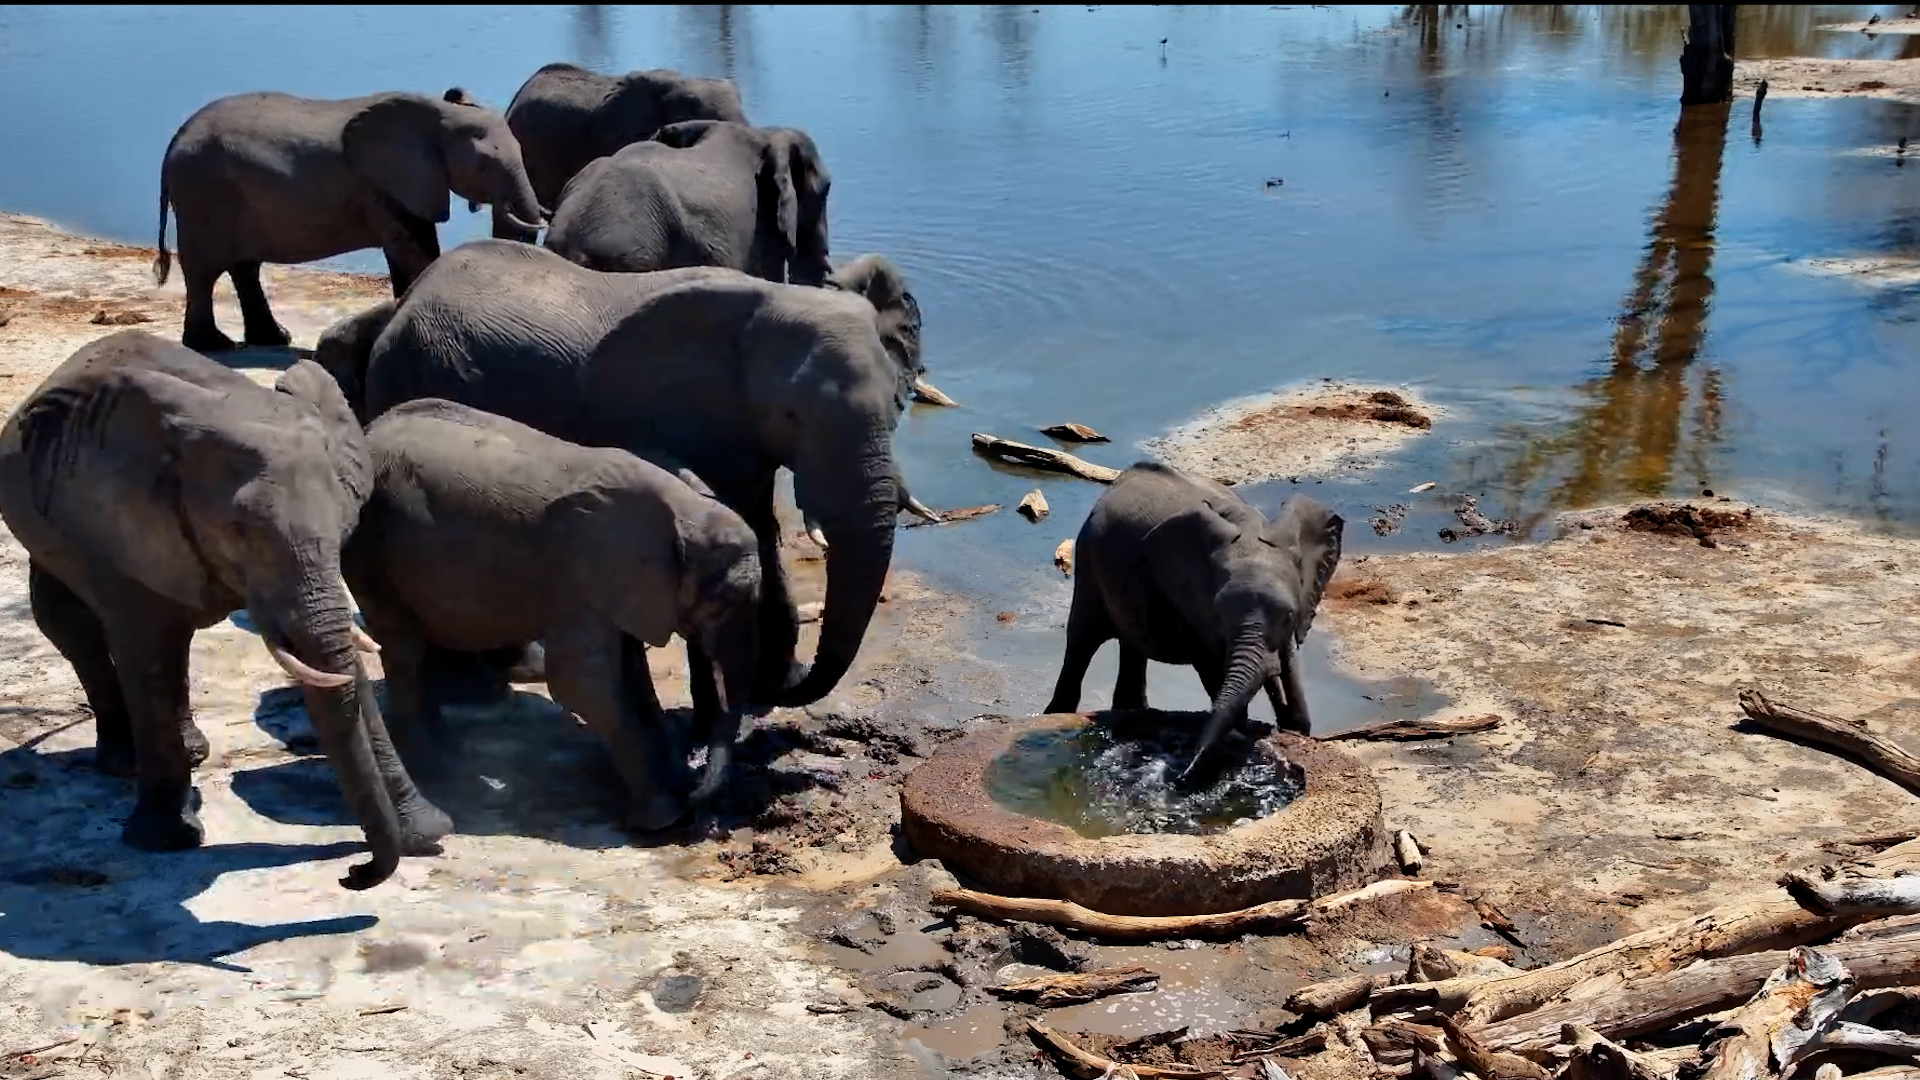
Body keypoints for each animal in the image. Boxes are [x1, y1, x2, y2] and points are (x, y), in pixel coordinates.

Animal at [0, 330, 449, 889]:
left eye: (345, 523)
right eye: (240, 532)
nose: (352, 872)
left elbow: (337, 662)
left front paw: (425, 833)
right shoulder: (120, 523)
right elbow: (141, 647)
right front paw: (164, 841)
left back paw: (193, 751)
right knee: (72, 624)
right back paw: (125, 763)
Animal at [153, 87, 548, 354]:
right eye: (483, 166)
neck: (435, 113)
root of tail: (172, 142)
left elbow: (411, 246)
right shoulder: (380, 184)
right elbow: (412, 248)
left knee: (244, 268)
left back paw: (273, 338)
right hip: (203, 193)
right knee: (204, 270)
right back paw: (213, 345)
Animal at [312, 240, 938, 713]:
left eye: (898, 403)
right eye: (791, 415)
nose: (788, 693)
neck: (772, 299)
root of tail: (403, 301)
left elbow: (759, 526)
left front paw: (770, 683)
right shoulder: (676, 415)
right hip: (409, 373)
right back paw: (485, 681)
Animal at [341, 399, 762, 832]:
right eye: (722, 603)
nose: (699, 797)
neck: (684, 509)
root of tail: (370, 429)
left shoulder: (618, 589)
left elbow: (632, 677)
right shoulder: (578, 579)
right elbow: (584, 685)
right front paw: (663, 817)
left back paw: (449, 750)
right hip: (368, 540)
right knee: (403, 645)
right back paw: (436, 764)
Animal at [1043, 461, 1343, 778]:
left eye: (1289, 615)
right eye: (1218, 615)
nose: (1183, 773)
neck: (1249, 528)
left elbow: (1290, 667)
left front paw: (1294, 726)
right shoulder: (1187, 603)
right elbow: (1209, 665)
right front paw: (1243, 729)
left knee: (1131, 647)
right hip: (1088, 565)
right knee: (1081, 642)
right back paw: (1058, 713)